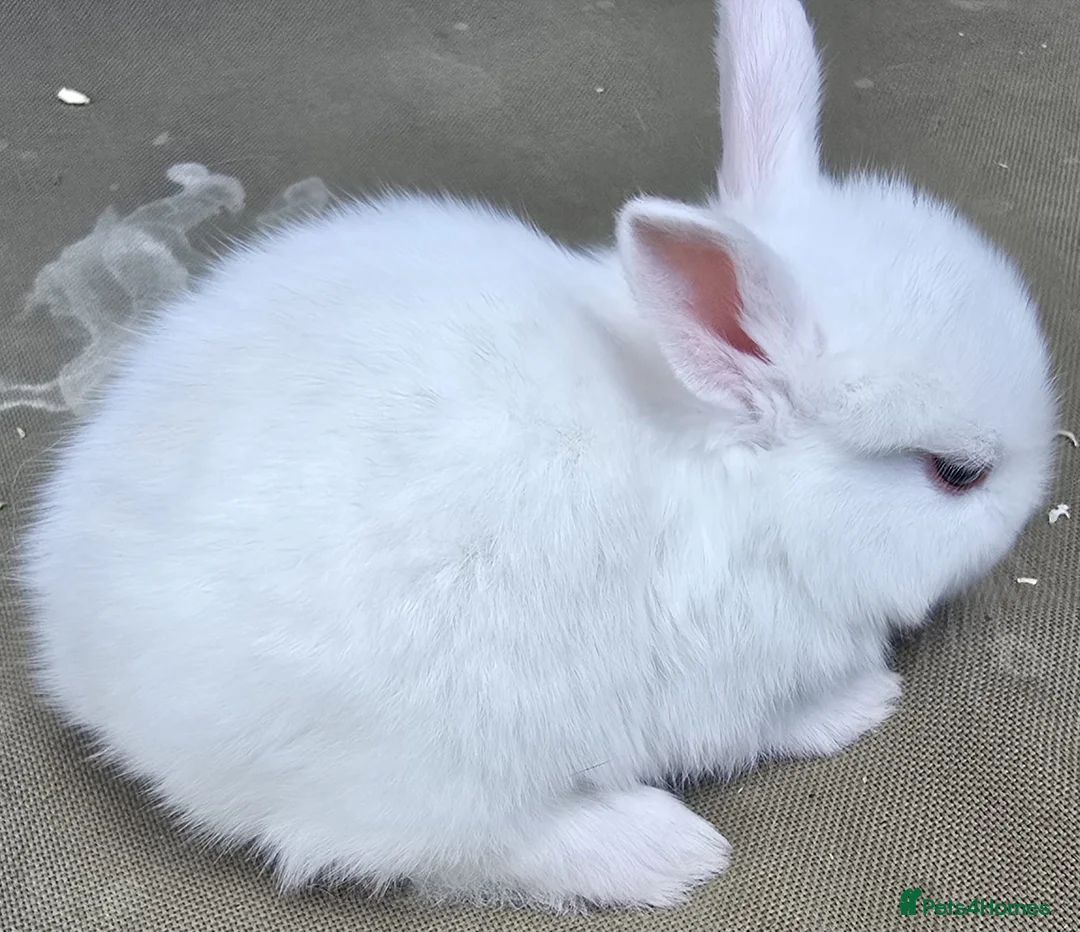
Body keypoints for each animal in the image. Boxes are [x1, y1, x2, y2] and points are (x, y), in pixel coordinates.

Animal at [20, 0, 1057, 914]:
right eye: (958, 474)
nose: (1026, 511)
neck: (737, 482)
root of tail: (83, 661)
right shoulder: (727, 682)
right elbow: (773, 719)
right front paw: (863, 702)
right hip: (437, 754)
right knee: (435, 843)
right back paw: (661, 851)